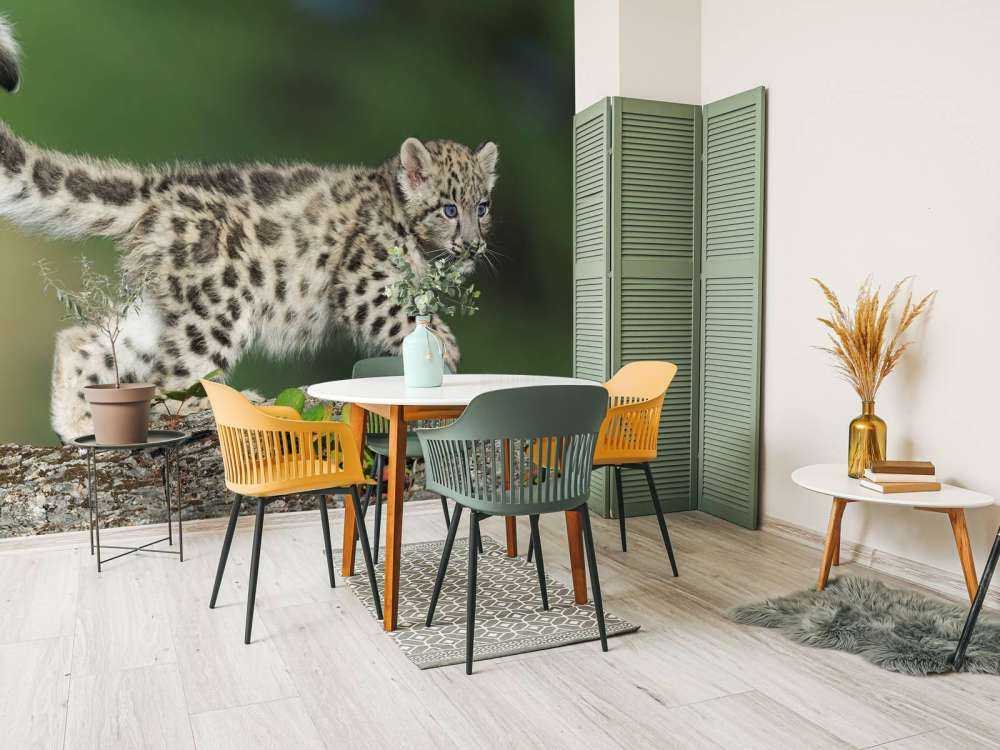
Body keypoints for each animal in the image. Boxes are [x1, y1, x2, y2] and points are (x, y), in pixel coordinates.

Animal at [0, 17, 498, 441]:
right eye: (448, 208)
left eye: (483, 206)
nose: (473, 246)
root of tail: (158, 188)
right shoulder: (366, 286)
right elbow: (422, 328)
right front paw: (449, 364)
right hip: (217, 309)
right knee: (172, 382)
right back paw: (230, 404)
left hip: (160, 307)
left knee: (87, 342)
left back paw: (78, 423)